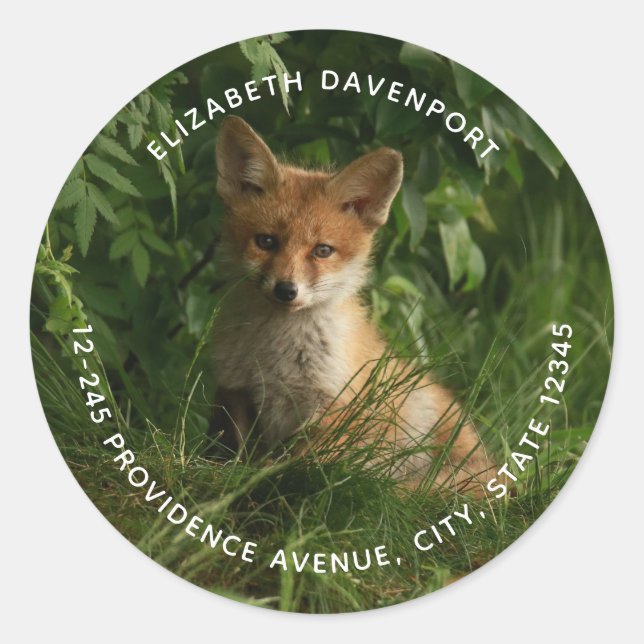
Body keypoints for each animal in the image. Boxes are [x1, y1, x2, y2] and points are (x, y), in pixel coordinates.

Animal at [210, 115, 494, 493]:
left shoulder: (335, 407)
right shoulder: (236, 390)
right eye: (266, 241)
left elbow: (298, 464)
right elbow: (237, 453)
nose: (286, 290)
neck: (274, 355)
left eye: (322, 250)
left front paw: (268, 478)